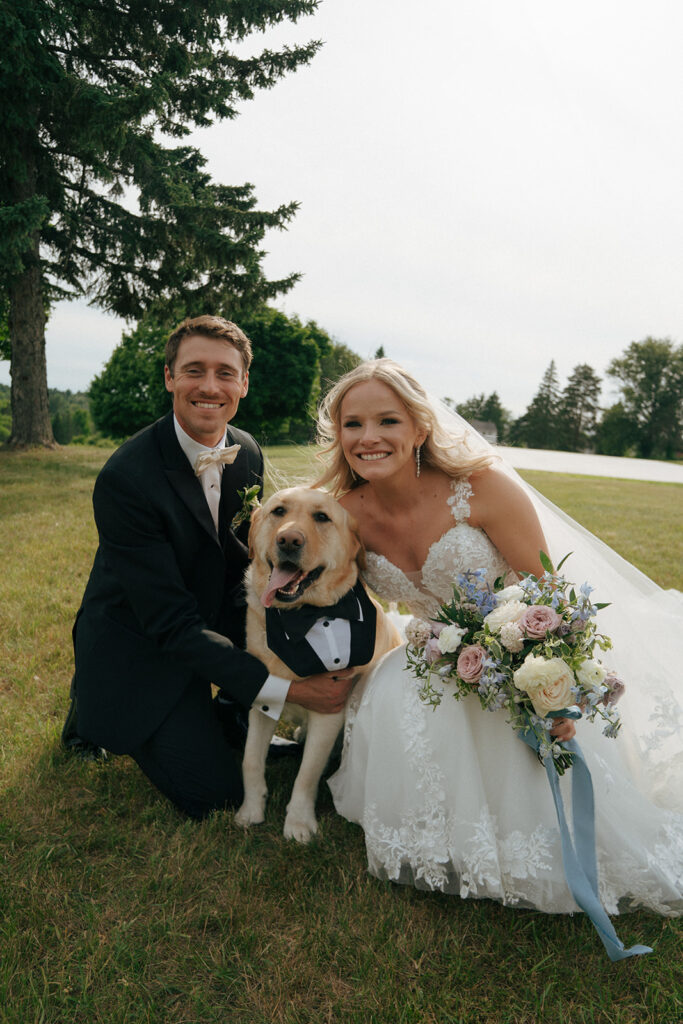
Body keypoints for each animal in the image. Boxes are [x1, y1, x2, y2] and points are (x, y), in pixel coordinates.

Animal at [235, 485, 401, 839]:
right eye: (278, 511)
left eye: (322, 517)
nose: (289, 540)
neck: (303, 616)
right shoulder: (263, 698)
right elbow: (250, 759)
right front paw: (250, 810)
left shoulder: (330, 711)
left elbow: (308, 772)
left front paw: (298, 822)